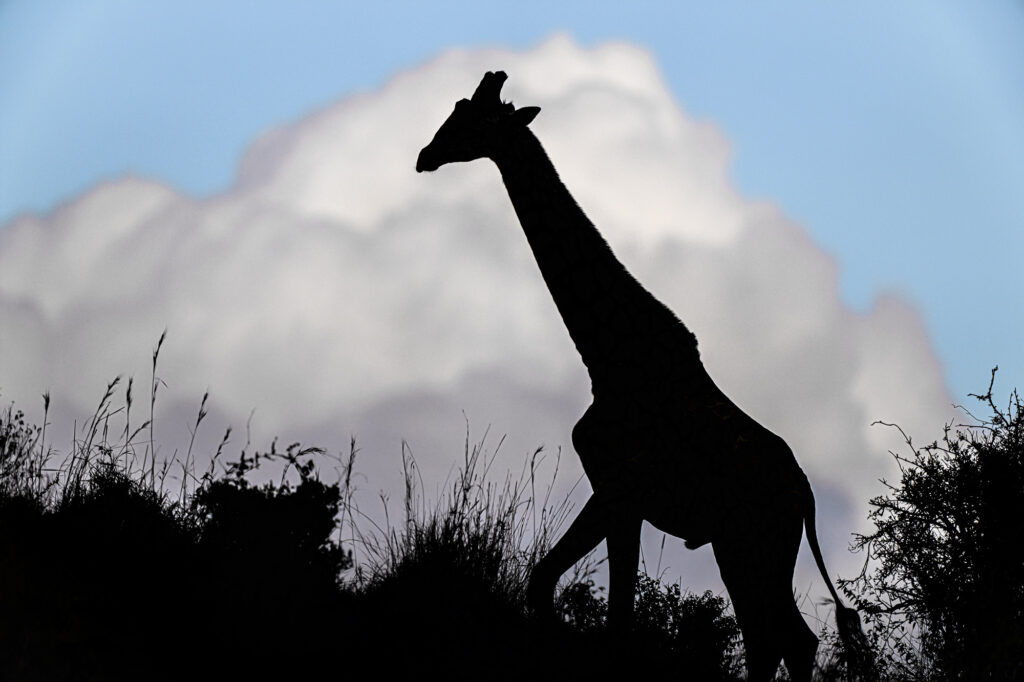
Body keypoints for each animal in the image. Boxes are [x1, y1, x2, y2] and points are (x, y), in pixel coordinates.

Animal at [416, 71, 869, 682]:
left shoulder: (620, 489)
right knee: (785, 639)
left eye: (472, 120)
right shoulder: (610, 490)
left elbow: (615, 623)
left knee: (780, 639)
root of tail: (805, 495)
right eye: (457, 107)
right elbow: (547, 586)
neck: (605, 355)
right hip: (747, 547)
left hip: (753, 544)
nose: (425, 155)